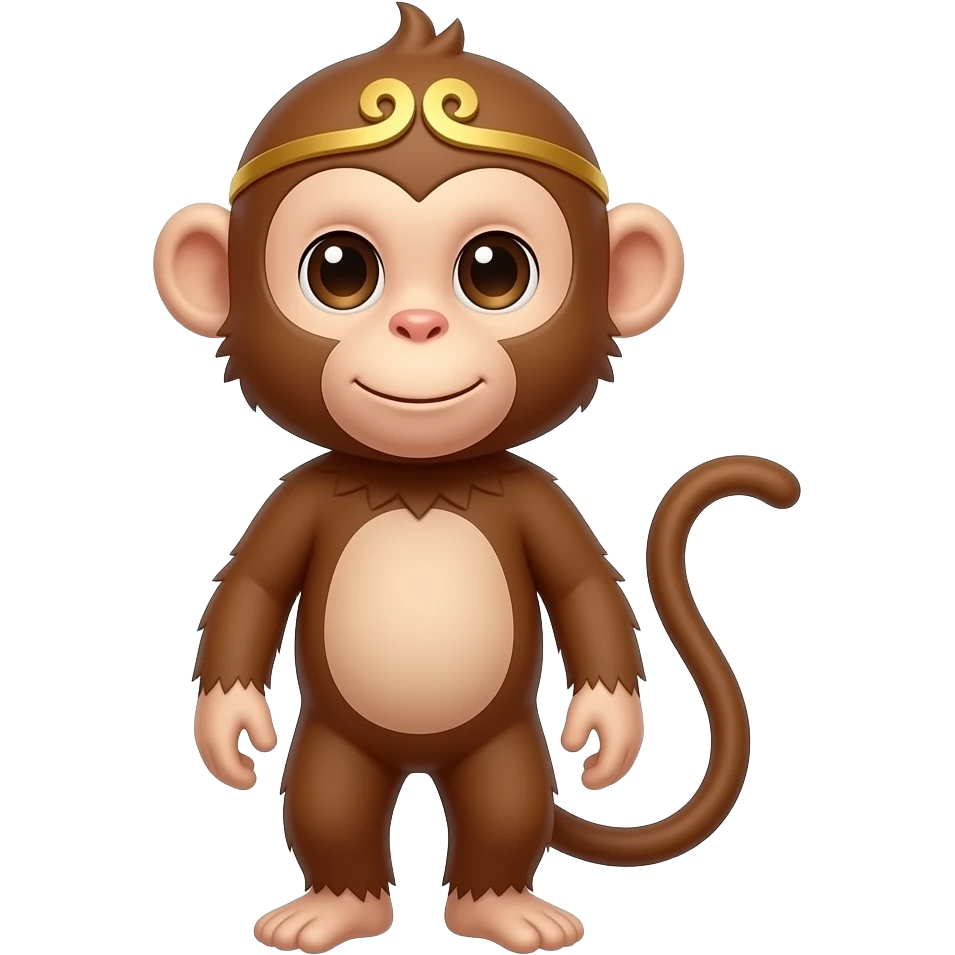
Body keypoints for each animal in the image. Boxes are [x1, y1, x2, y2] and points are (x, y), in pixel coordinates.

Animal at [153, 4, 801, 953]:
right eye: (339, 269)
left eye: (494, 269)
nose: (419, 324)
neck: (421, 483)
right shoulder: (295, 501)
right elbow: (252, 589)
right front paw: (230, 727)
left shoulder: (537, 501)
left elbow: (584, 591)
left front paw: (606, 728)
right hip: (336, 742)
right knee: (329, 802)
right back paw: (335, 907)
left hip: (503, 742)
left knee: (507, 803)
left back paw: (501, 908)